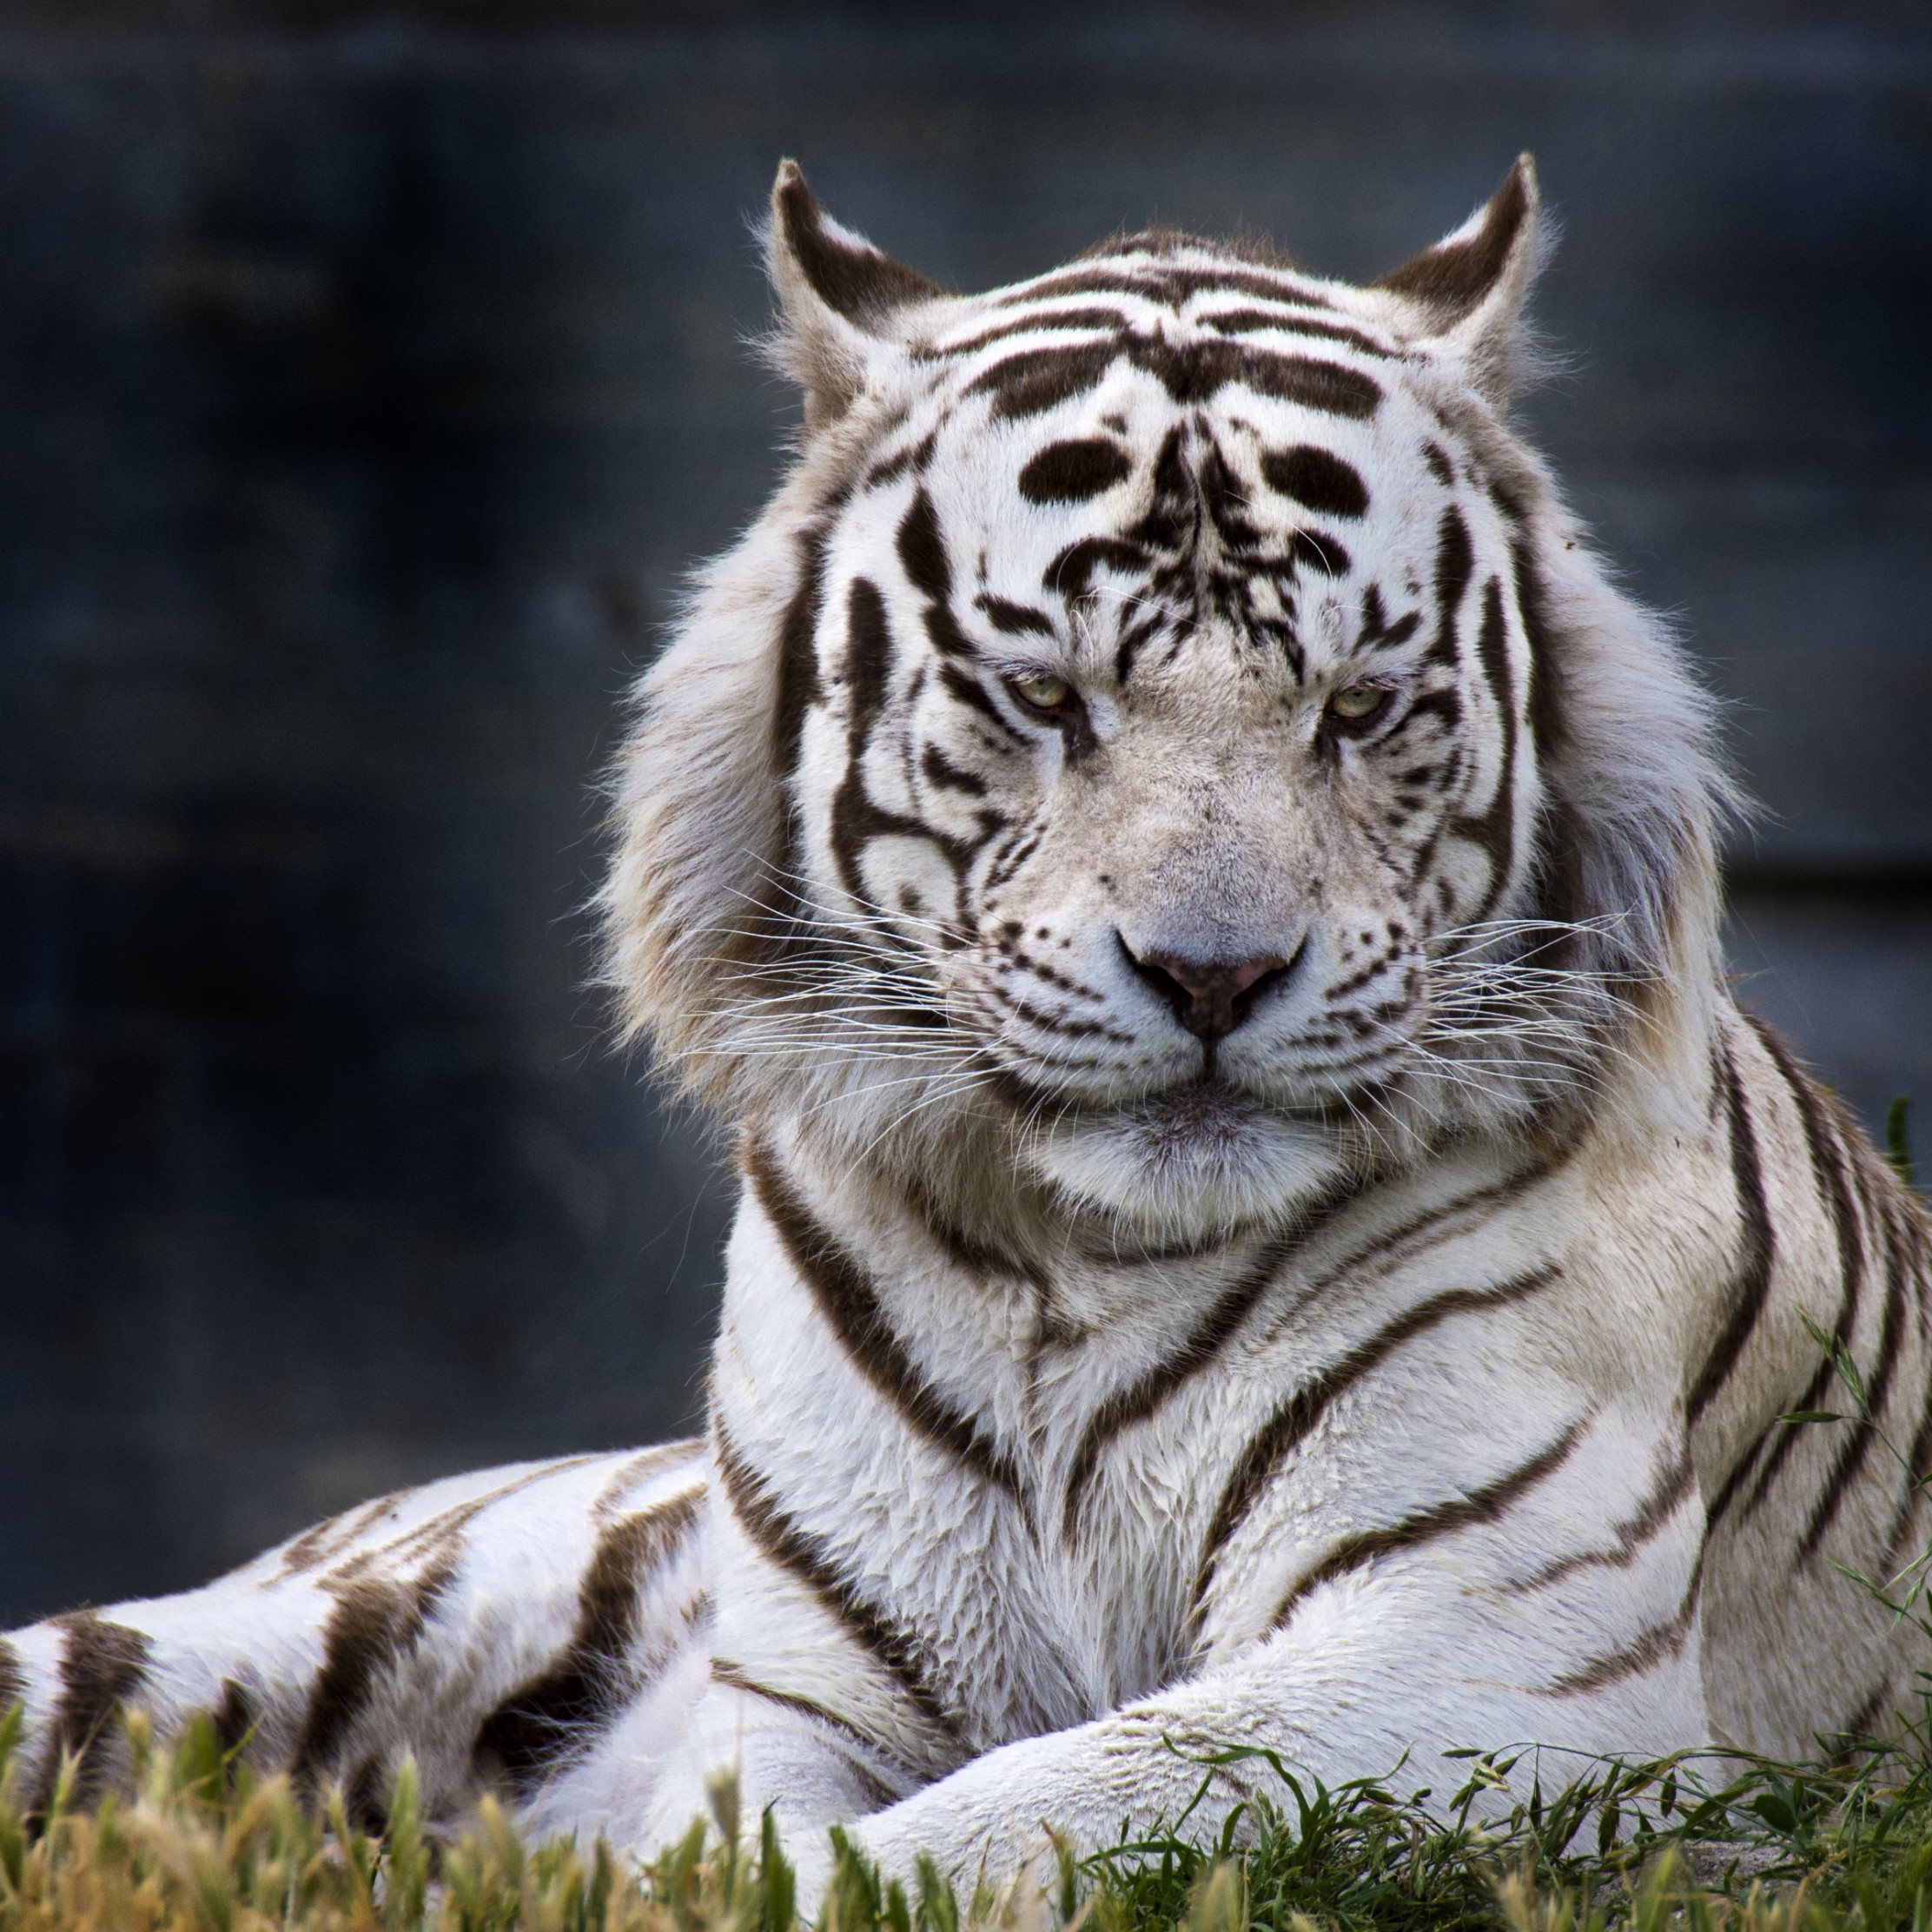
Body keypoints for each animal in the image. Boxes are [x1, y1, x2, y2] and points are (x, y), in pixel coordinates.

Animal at [3, 154, 1932, 1901]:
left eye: (1356, 704)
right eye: (1039, 694)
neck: (1075, 1265)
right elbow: (786, 1834)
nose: (1213, 973)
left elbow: (1032, 1807)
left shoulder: (1487, 1646)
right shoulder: (797, 1683)